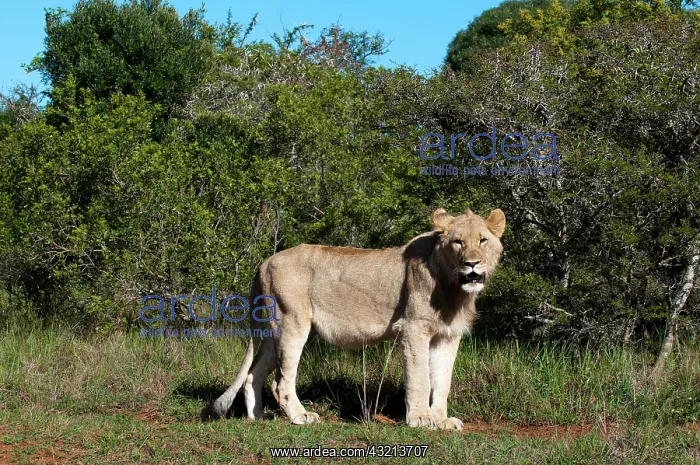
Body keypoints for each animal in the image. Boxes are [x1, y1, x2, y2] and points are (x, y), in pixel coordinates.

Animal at [202, 207, 505, 430]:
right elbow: (420, 376)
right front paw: (420, 419)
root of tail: (264, 262)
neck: (453, 288)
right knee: (280, 381)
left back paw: (258, 417)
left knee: (253, 373)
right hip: (291, 322)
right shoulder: (414, 328)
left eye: (482, 240)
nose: (472, 264)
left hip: (272, 329)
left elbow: (443, 380)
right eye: (458, 242)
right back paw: (301, 416)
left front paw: (442, 420)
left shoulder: (447, 335)